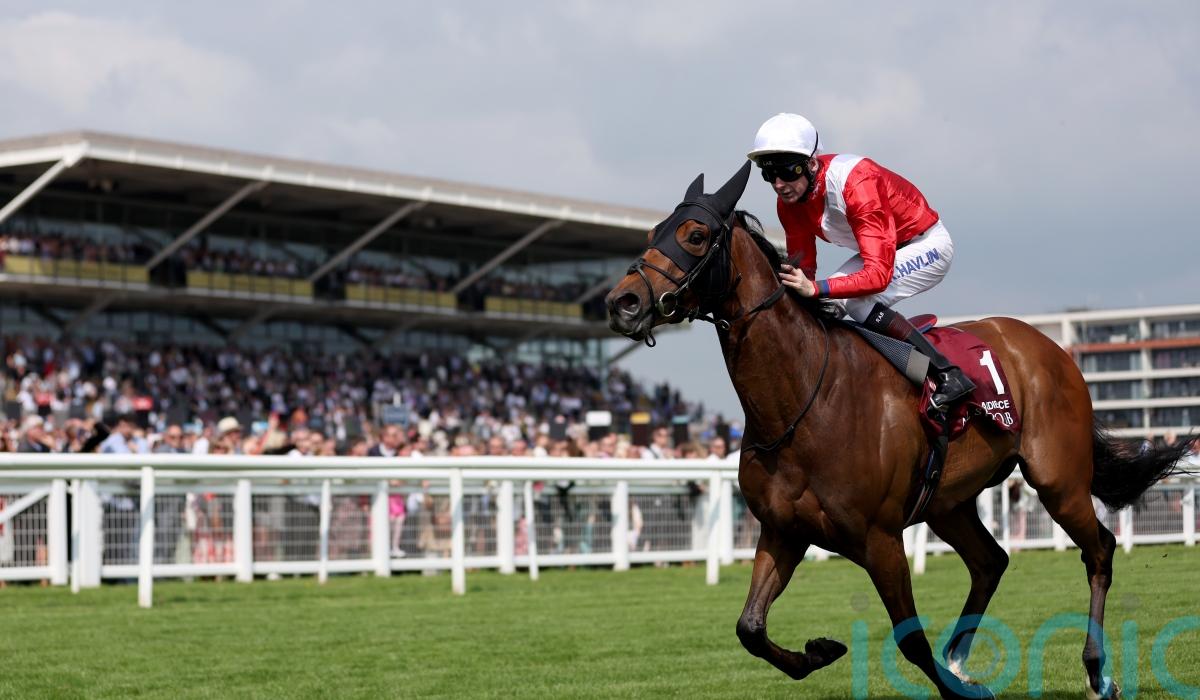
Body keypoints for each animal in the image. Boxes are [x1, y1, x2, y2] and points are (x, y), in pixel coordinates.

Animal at [604, 162, 1192, 699]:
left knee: (1100, 550)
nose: (621, 302)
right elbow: (749, 627)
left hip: (1058, 479)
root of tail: (1053, 347)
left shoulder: (880, 539)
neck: (805, 398)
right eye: (654, 233)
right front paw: (820, 651)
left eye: (695, 236)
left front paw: (956, 689)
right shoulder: (782, 530)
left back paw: (1097, 673)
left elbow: (910, 639)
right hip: (948, 502)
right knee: (991, 561)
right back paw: (961, 660)